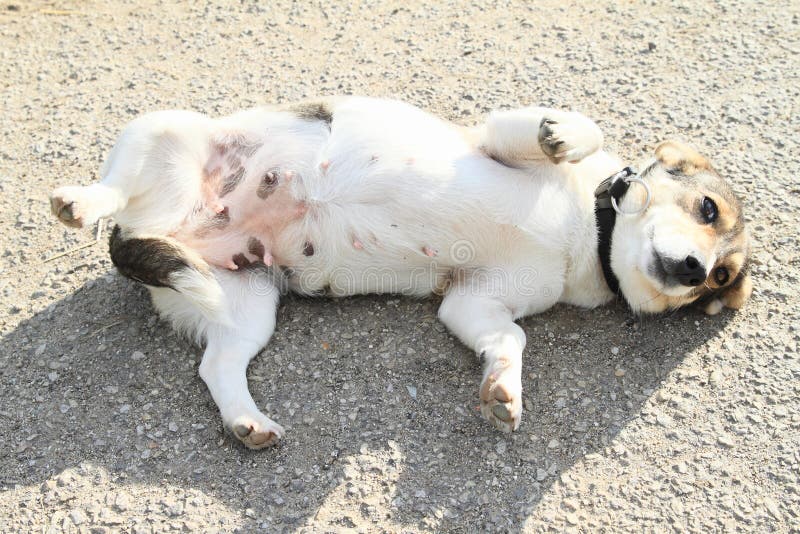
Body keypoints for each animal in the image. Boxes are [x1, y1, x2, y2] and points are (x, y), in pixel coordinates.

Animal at [50, 96, 752, 448]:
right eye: (707, 208)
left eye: (720, 279)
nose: (694, 269)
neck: (591, 231)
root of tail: (163, 230)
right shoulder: (495, 135)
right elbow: (577, 128)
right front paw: (564, 135)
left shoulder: (476, 304)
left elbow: (510, 340)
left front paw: (504, 388)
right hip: (160, 131)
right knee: (114, 186)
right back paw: (81, 201)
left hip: (245, 303)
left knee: (217, 366)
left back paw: (247, 422)